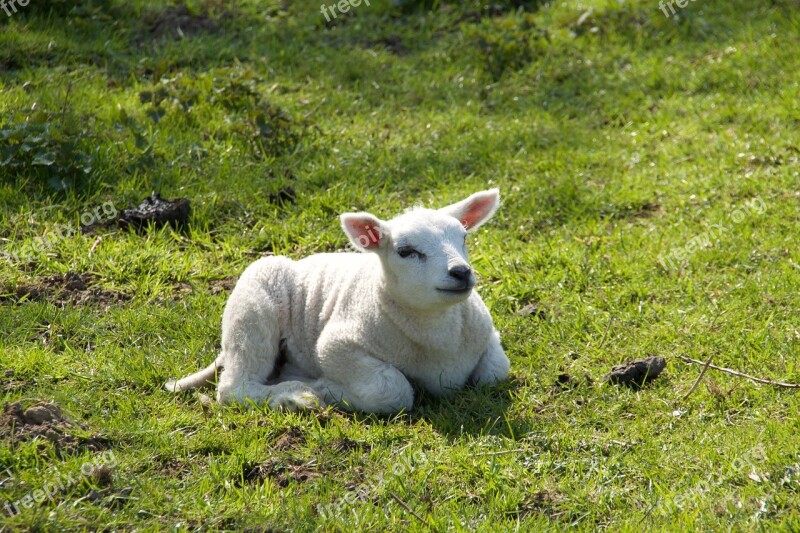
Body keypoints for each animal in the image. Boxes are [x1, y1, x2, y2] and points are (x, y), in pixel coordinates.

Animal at [166, 189, 510, 414]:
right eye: (406, 251)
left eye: (463, 238)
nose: (461, 272)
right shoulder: (336, 346)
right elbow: (393, 390)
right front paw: (326, 389)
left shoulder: (490, 336)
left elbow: (495, 372)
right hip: (253, 309)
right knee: (234, 387)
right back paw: (295, 396)